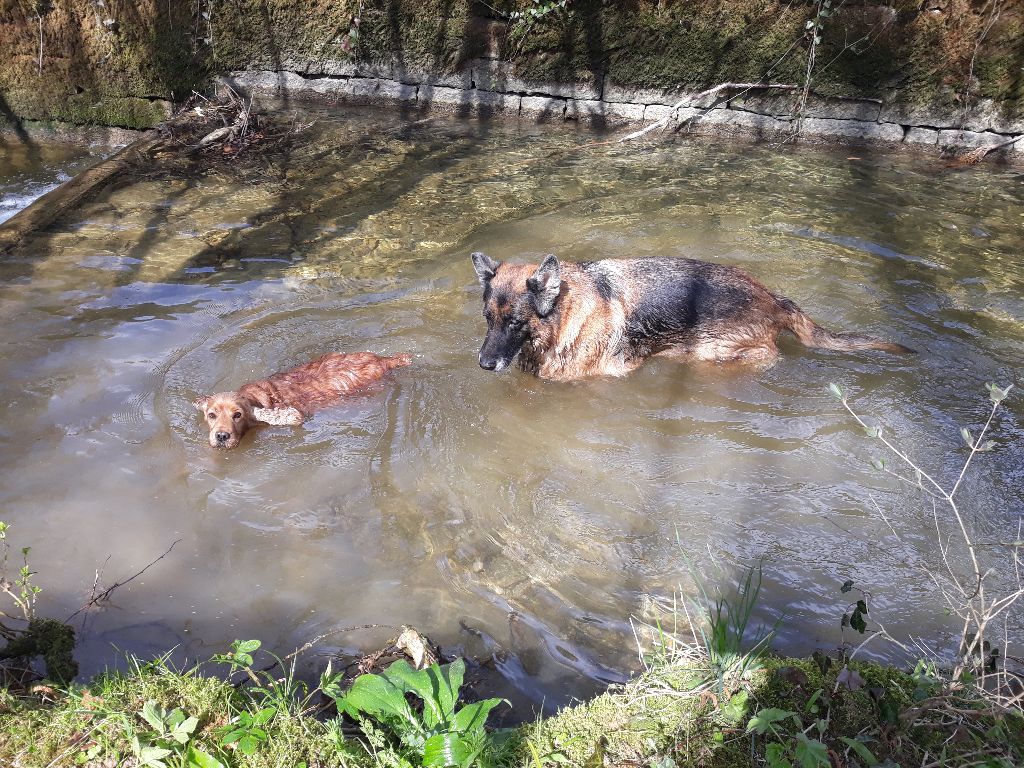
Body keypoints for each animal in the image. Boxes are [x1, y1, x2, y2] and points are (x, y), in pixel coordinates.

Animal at [471, 253, 913, 382]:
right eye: (488, 319)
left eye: (515, 324)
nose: (484, 364)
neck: (563, 317)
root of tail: (774, 298)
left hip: (710, 350)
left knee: (766, 356)